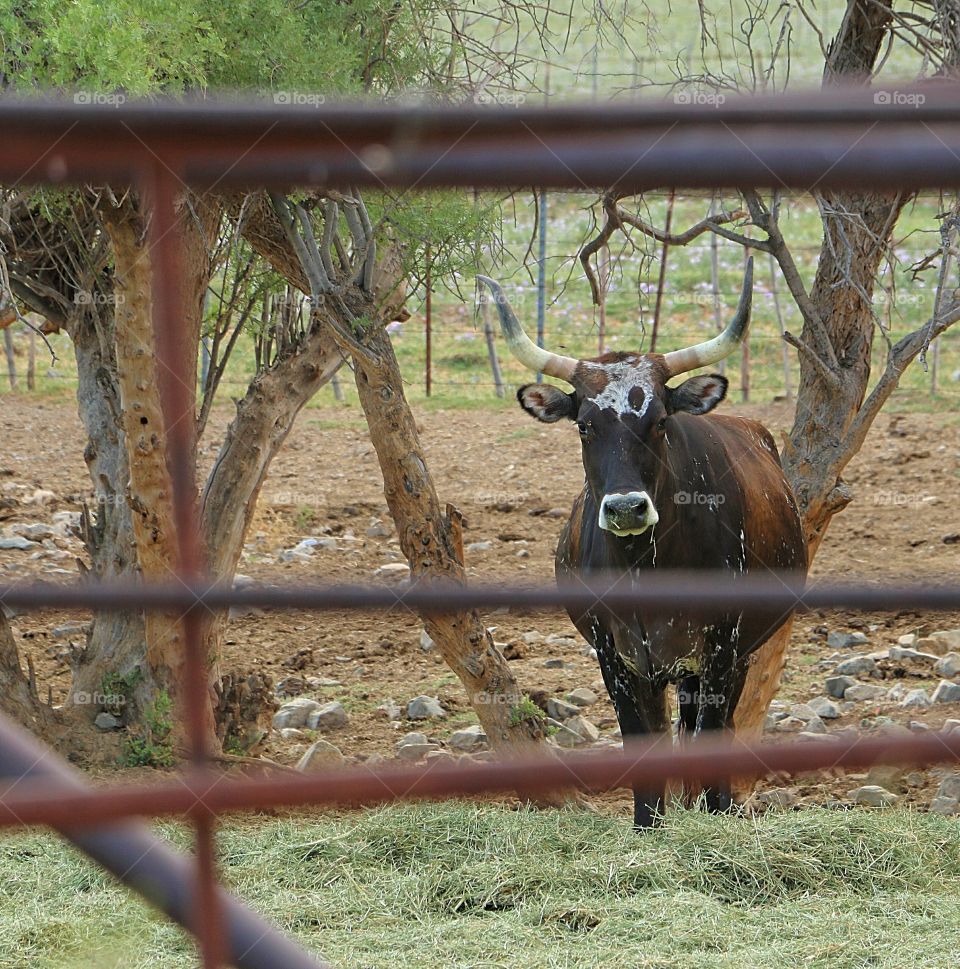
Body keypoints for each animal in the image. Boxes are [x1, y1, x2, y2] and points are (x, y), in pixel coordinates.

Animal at [478, 260, 807, 828]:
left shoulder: (721, 649)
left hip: (733, 657)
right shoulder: (617, 659)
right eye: (584, 426)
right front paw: (649, 825)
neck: (645, 566)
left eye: (659, 422)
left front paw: (714, 815)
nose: (626, 508)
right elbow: (642, 746)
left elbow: (712, 737)